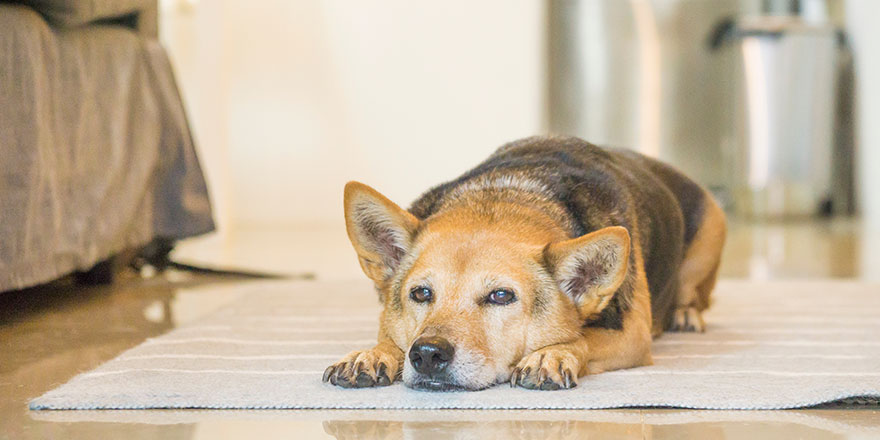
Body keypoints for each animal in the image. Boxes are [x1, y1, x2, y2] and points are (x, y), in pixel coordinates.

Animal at [322, 136, 720, 390]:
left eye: (501, 296)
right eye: (420, 294)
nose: (428, 354)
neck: (508, 194)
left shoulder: (633, 334)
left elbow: (583, 337)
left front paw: (550, 356)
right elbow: (390, 336)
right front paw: (374, 354)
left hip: (710, 236)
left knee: (693, 295)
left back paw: (685, 314)